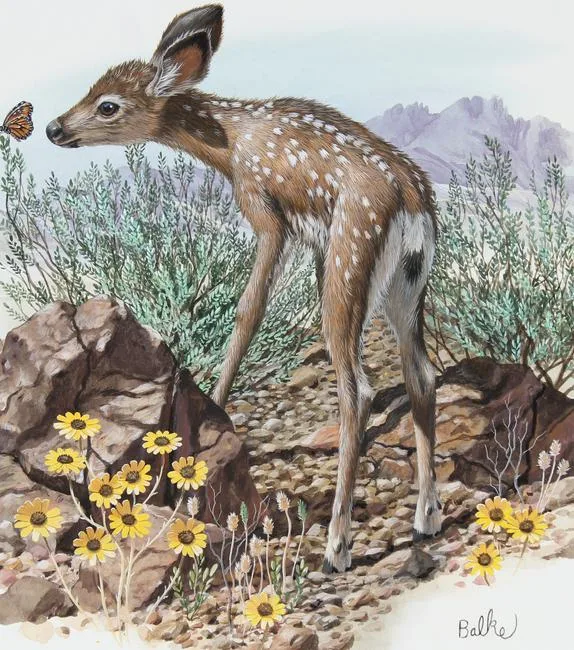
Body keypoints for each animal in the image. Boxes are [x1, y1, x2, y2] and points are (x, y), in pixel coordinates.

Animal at [46, 4, 441, 573]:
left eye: (108, 104)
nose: (52, 127)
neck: (230, 142)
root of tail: (413, 200)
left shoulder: (264, 209)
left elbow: (249, 309)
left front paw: (211, 406)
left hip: (350, 256)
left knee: (359, 390)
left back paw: (337, 546)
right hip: (405, 286)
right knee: (423, 377)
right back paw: (426, 518)